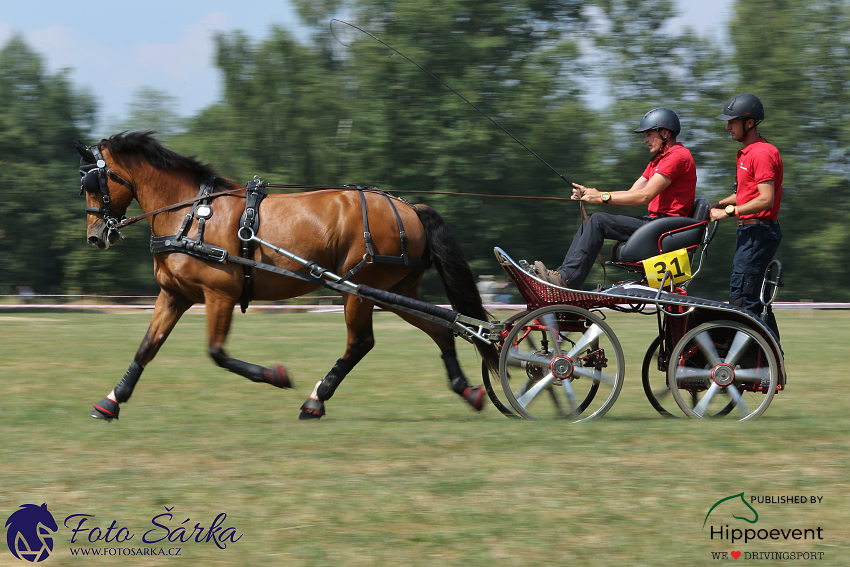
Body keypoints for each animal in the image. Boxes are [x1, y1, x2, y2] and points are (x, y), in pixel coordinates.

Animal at [74, 130, 496, 422]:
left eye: (91, 183)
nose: (95, 236)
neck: (191, 214)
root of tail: (408, 207)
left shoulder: (220, 293)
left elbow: (217, 352)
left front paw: (275, 375)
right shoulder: (174, 295)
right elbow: (147, 347)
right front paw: (111, 401)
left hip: (359, 290)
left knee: (361, 342)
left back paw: (315, 401)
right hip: (392, 290)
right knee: (442, 326)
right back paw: (467, 389)